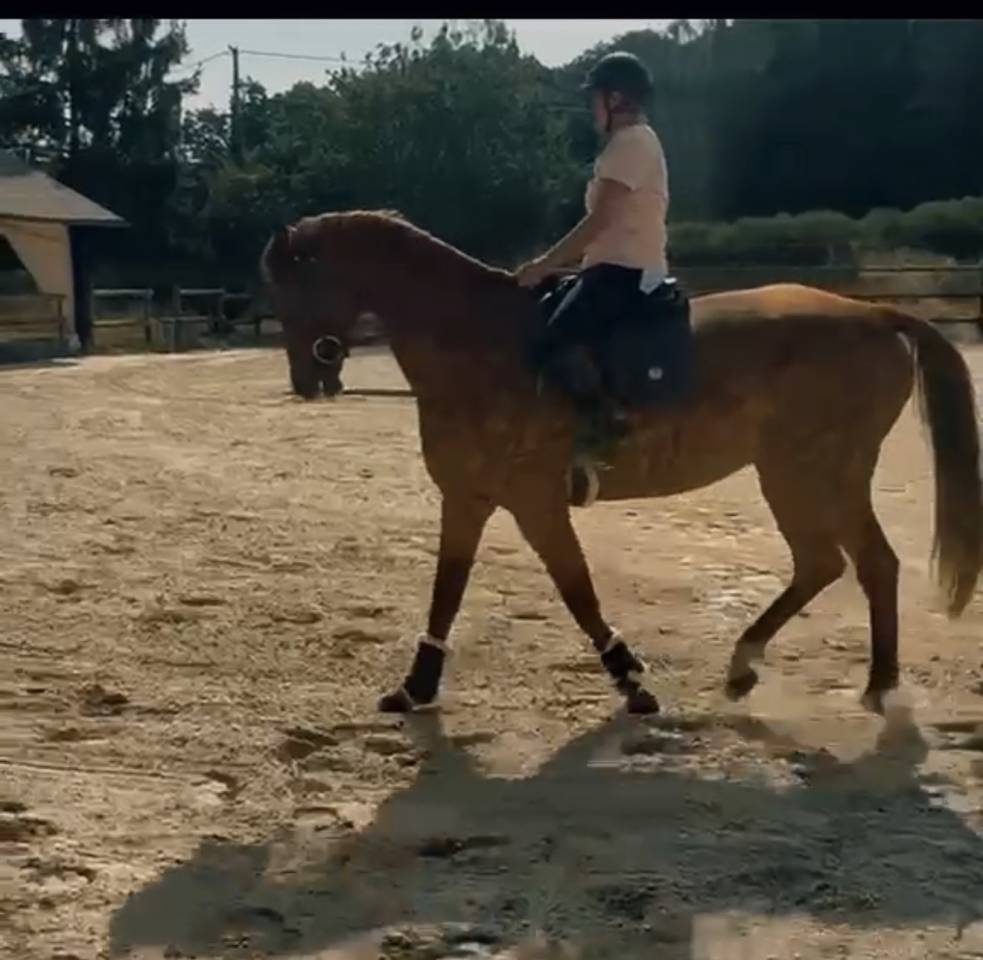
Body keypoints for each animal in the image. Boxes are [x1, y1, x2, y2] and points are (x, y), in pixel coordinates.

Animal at [260, 210, 982, 718]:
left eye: (296, 287)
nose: (309, 377)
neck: (479, 344)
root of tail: (875, 314)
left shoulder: (531, 501)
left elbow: (575, 589)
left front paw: (630, 679)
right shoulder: (469, 496)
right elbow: (449, 590)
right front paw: (415, 687)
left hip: (807, 472)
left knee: (855, 563)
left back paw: (870, 685)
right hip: (807, 475)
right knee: (836, 564)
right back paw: (763, 668)